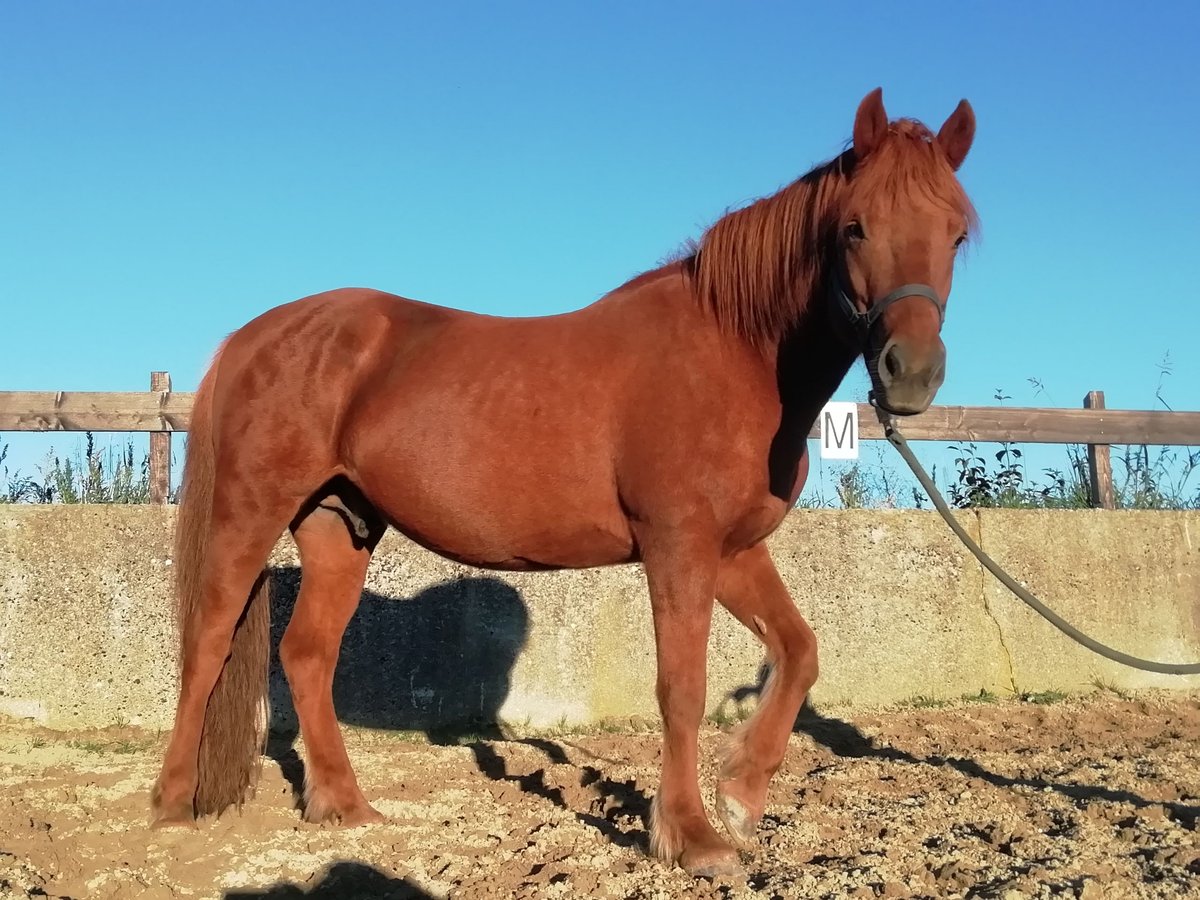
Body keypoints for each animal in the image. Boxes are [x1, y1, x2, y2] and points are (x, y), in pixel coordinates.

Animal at [149, 87, 978, 877]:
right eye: (855, 228)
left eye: (957, 234)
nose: (911, 373)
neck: (731, 354)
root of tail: (255, 335)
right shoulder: (679, 547)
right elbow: (681, 688)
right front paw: (691, 835)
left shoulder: (735, 551)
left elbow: (800, 651)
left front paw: (741, 794)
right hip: (251, 512)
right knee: (209, 642)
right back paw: (171, 804)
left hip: (338, 526)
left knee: (307, 656)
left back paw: (344, 806)